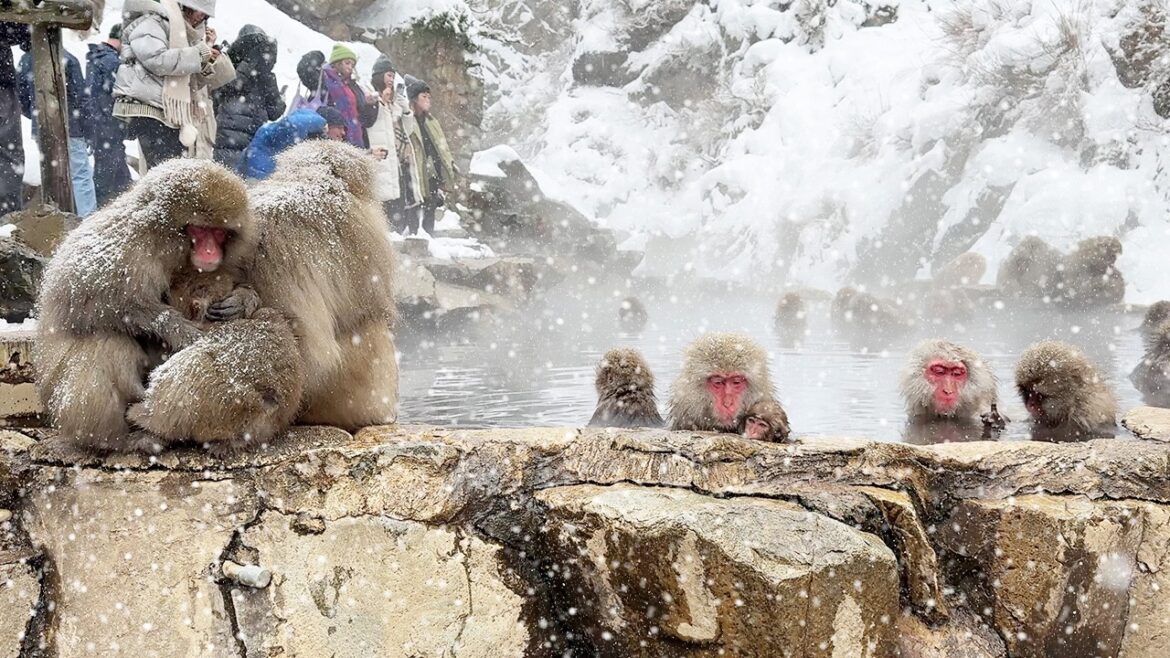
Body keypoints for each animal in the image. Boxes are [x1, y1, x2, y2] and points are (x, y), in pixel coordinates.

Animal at [35, 159, 255, 451]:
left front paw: (243, 299)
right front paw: (175, 327)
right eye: (199, 230)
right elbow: (89, 296)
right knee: (107, 342)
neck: (159, 240)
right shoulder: (124, 247)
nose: (210, 252)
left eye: (218, 232)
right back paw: (117, 439)